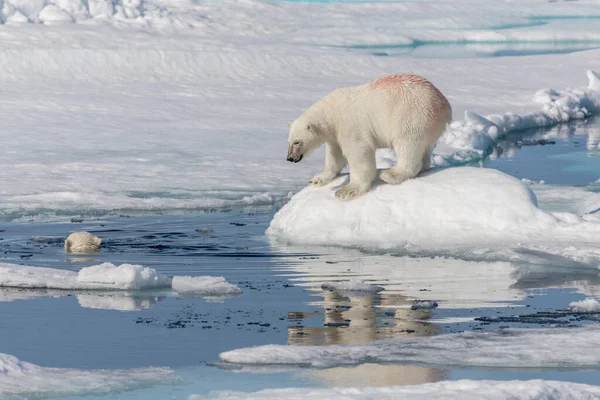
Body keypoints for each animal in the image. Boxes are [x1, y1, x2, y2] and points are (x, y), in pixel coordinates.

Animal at [286, 73, 450, 200]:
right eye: (289, 142)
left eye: (297, 142)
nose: (290, 158)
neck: (332, 112)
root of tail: (445, 104)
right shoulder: (335, 135)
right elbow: (335, 156)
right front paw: (316, 179)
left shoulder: (350, 125)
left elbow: (359, 152)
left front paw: (346, 190)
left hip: (412, 114)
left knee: (407, 143)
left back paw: (390, 174)